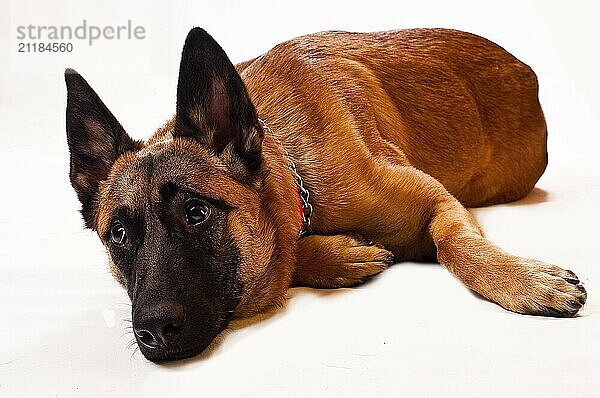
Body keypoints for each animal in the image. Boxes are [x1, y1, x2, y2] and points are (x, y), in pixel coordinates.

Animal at [64, 27, 584, 360]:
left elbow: (456, 246)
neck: (297, 178)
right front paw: (341, 255)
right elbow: (290, 254)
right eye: (118, 235)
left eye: (196, 212)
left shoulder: (438, 201)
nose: (153, 332)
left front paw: (524, 281)